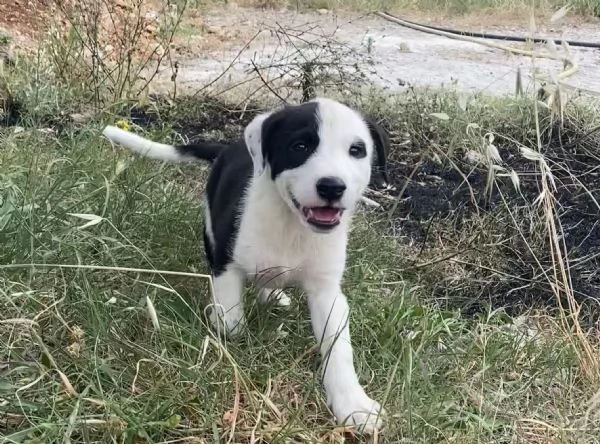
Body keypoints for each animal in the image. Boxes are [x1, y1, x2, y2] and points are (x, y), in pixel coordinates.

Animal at [103, 98, 390, 434]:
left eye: (357, 150)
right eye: (300, 146)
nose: (332, 187)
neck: (290, 223)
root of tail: (229, 147)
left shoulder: (327, 292)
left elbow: (339, 348)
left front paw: (354, 404)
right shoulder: (226, 263)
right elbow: (231, 319)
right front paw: (224, 327)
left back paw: (273, 294)